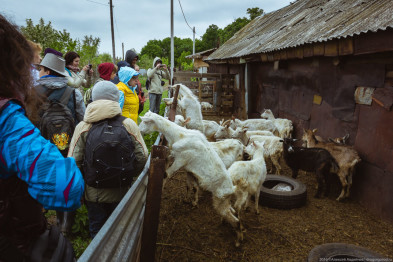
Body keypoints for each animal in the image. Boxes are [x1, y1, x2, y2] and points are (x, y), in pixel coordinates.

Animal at [138, 112, 242, 246]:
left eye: (146, 122)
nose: (140, 131)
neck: (180, 135)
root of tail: (231, 189)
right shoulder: (181, 162)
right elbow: (189, 185)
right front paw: (189, 200)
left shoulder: (181, 159)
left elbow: (166, 174)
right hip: (223, 201)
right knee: (232, 213)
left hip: (220, 201)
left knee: (236, 221)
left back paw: (238, 241)